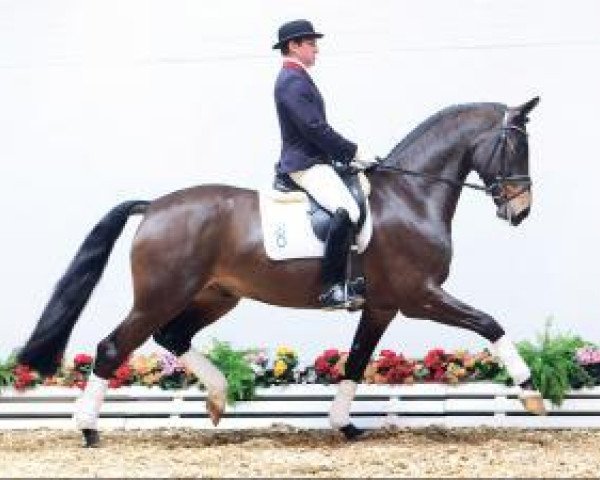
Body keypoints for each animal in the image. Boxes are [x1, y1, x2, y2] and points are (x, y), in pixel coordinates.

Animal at [17, 96, 544, 446]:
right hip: (161, 295)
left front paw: (344, 425)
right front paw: (530, 392)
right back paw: (88, 429)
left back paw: (216, 397)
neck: (410, 197)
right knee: (114, 347)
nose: (520, 212)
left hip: (215, 295)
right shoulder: (421, 296)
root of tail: (153, 208)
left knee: (172, 336)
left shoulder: (382, 305)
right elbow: (490, 323)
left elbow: (356, 361)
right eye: (515, 146)